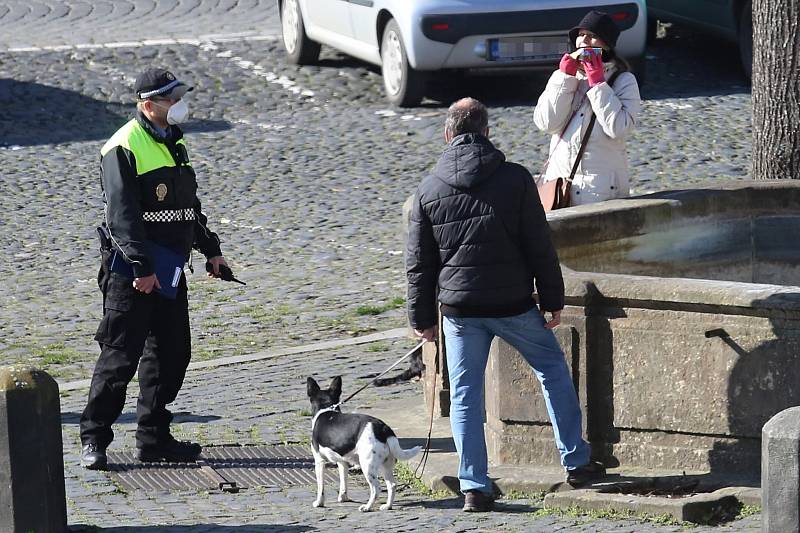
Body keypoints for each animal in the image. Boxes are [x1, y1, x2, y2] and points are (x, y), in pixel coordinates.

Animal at [304, 376, 422, 510]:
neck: (326, 409)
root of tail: (383, 428)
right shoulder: (342, 462)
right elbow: (343, 481)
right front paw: (343, 498)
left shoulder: (319, 461)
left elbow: (320, 487)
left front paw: (319, 503)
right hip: (385, 465)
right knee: (392, 485)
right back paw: (387, 506)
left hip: (367, 465)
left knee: (376, 488)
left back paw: (367, 507)